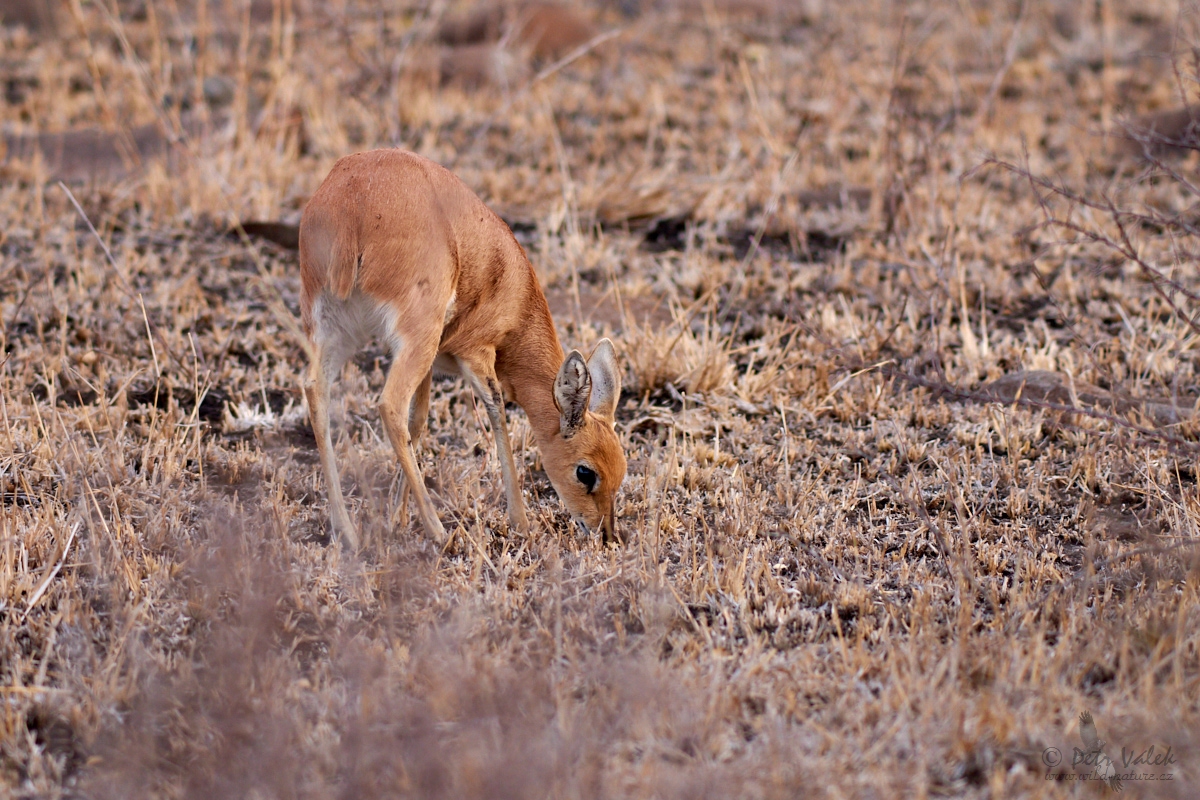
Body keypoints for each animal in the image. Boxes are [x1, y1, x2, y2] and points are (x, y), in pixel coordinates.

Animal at [298, 148, 628, 551]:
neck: (513, 288)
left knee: (317, 392)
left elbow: (419, 421)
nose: (606, 534)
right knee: (389, 404)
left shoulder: (428, 362)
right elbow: (496, 412)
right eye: (586, 472)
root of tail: (353, 202)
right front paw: (521, 523)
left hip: (340, 331)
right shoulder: (476, 353)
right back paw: (439, 532)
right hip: (414, 336)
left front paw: (397, 517)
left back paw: (346, 530)